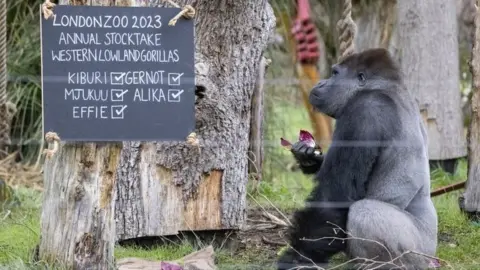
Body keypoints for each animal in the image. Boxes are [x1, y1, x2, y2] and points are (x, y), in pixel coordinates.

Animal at [278, 48, 438, 270]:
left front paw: (299, 257)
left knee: (364, 212)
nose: (320, 84)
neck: (383, 87)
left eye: (335, 74)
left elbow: (334, 195)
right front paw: (307, 157)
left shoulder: (364, 110)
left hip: (418, 252)